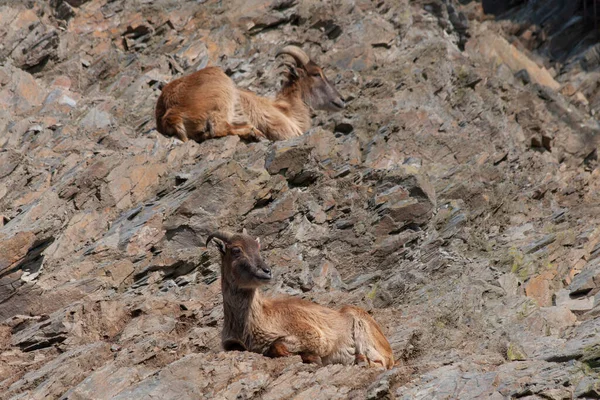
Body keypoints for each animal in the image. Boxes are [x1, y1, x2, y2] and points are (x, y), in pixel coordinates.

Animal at [155, 46, 344, 143]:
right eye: (316, 74)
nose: (341, 100)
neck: (286, 109)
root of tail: (171, 111)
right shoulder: (283, 128)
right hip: (222, 91)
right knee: (218, 127)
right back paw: (253, 133)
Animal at [205, 228, 394, 368]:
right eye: (236, 250)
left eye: (258, 248)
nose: (266, 271)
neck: (254, 322)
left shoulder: (313, 335)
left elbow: (276, 346)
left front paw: (311, 358)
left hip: (362, 329)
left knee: (381, 361)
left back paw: (361, 360)